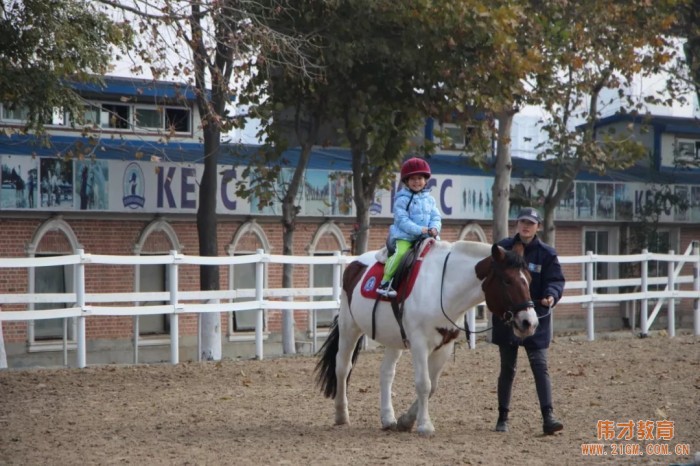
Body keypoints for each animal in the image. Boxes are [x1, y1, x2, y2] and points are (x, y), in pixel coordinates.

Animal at [314, 242, 540, 436]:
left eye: (529, 280)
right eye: (507, 280)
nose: (529, 322)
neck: (443, 288)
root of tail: (355, 263)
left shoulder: (445, 346)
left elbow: (433, 386)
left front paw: (406, 421)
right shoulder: (419, 345)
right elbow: (424, 384)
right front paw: (425, 425)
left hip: (393, 339)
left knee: (386, 373)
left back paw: (388, 418)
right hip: (349, 327)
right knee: (343, 367)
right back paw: (341, 414)